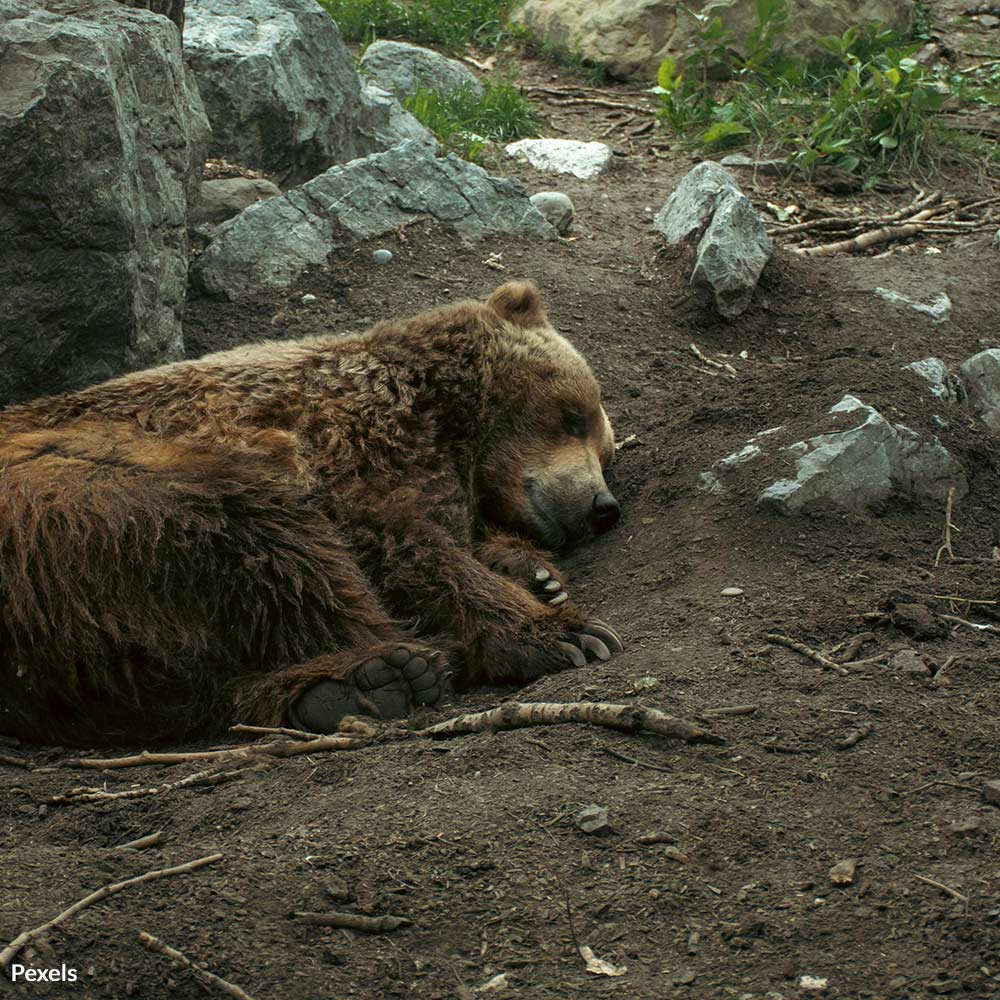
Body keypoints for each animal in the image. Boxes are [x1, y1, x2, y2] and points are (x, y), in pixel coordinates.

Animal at [0, 282, 623, 745]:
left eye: (606, 452)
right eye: (572, 416)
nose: (602, 507)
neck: (448, 421)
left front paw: (536, 576)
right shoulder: (345, 441)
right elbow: (399, 542)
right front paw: (563, 631)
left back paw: (349, 689)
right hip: (100, 490)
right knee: (268, 543)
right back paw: (396, 666)